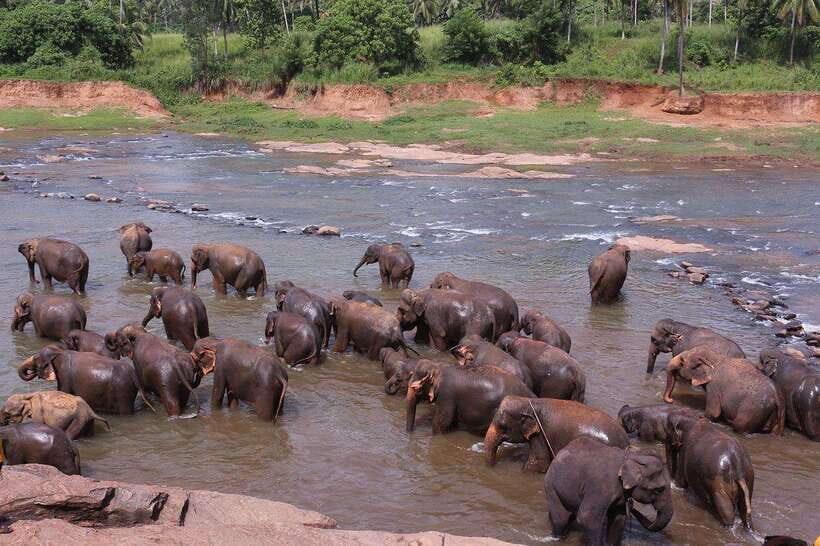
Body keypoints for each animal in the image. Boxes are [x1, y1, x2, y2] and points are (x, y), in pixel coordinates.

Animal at [17, 345, 154, 415]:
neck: (60, 352)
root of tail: (134, 375)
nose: (31, 371)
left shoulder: (65, 376)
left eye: (36, 358)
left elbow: (64, 391)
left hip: (122, 391)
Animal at [405, 359, 534, 435]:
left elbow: (442, 421)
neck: (437, 366)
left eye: (416, 388)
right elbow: (452, 422)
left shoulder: (446, 394)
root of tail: (529, 392)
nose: (409, 433)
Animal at [485, 396, 629, 473]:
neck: (529, 402)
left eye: (503, 426)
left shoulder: (540, 435)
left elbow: (539, 462)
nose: (493, 467)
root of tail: (625, 442)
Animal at [543, 437, 674, 545]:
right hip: (550, 485)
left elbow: (618, 519)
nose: (631, 506)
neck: (630, 456)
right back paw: (557, 537)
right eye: (659, 490)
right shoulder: (601, 487)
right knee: (561, 518)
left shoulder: (621, 494)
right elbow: (587, 518)